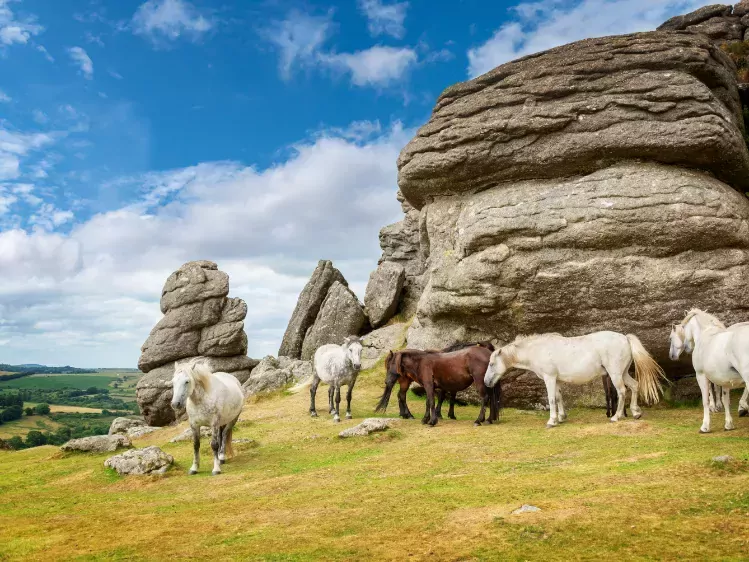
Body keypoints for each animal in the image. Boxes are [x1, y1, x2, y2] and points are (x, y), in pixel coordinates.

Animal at [484, 331, 666, 428]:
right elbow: (558, 398)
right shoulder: (556, 380)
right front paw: (561, 417)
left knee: (622, 392)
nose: (486, 382)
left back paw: (616, 416)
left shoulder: (549, 378)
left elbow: (551, 399)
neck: (539, 349)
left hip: (615, 375)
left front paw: (552, 421)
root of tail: (625, 338)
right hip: (623, 373)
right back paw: (636, 413)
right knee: (634, 386)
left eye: (492, 364)